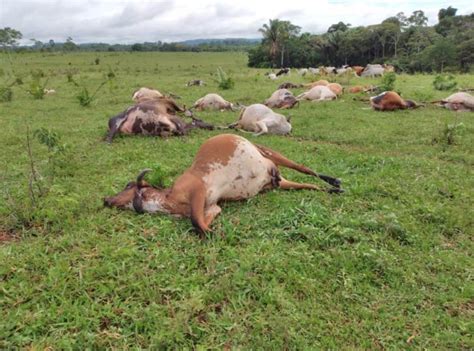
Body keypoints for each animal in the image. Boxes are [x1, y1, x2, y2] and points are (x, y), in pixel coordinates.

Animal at [103, 133, 340, 235]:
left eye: (128, 186)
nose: (106, 199)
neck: (169, 199)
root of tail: (273, 175)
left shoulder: (196, 189)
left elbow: (196, 223)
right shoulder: (211, 207)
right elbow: (201, 223)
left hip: (269, 152)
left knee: (304, 168)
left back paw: (334, 180)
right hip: (280, 183)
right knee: (308, 186)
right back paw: (332, 188)